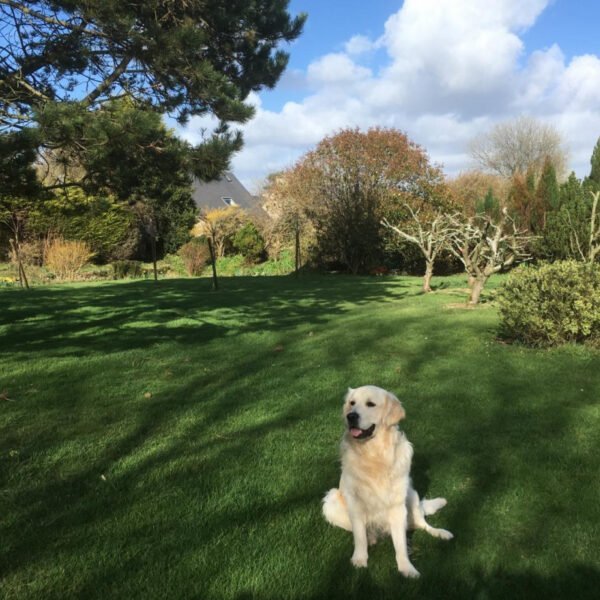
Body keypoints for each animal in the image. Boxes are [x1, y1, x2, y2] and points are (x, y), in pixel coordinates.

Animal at [322, 386, 452, 580]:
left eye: (370, 404)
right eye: (352, 403)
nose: (351, 416)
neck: (374, 454)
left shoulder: (397, 505)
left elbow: (399, 544)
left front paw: (407, 568)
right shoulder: (354, 501)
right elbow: (359, 536)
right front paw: (359, 560)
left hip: (411, 496)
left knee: (422, 524)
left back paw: (440, 533)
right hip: (331, 500)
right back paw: (372, 538)